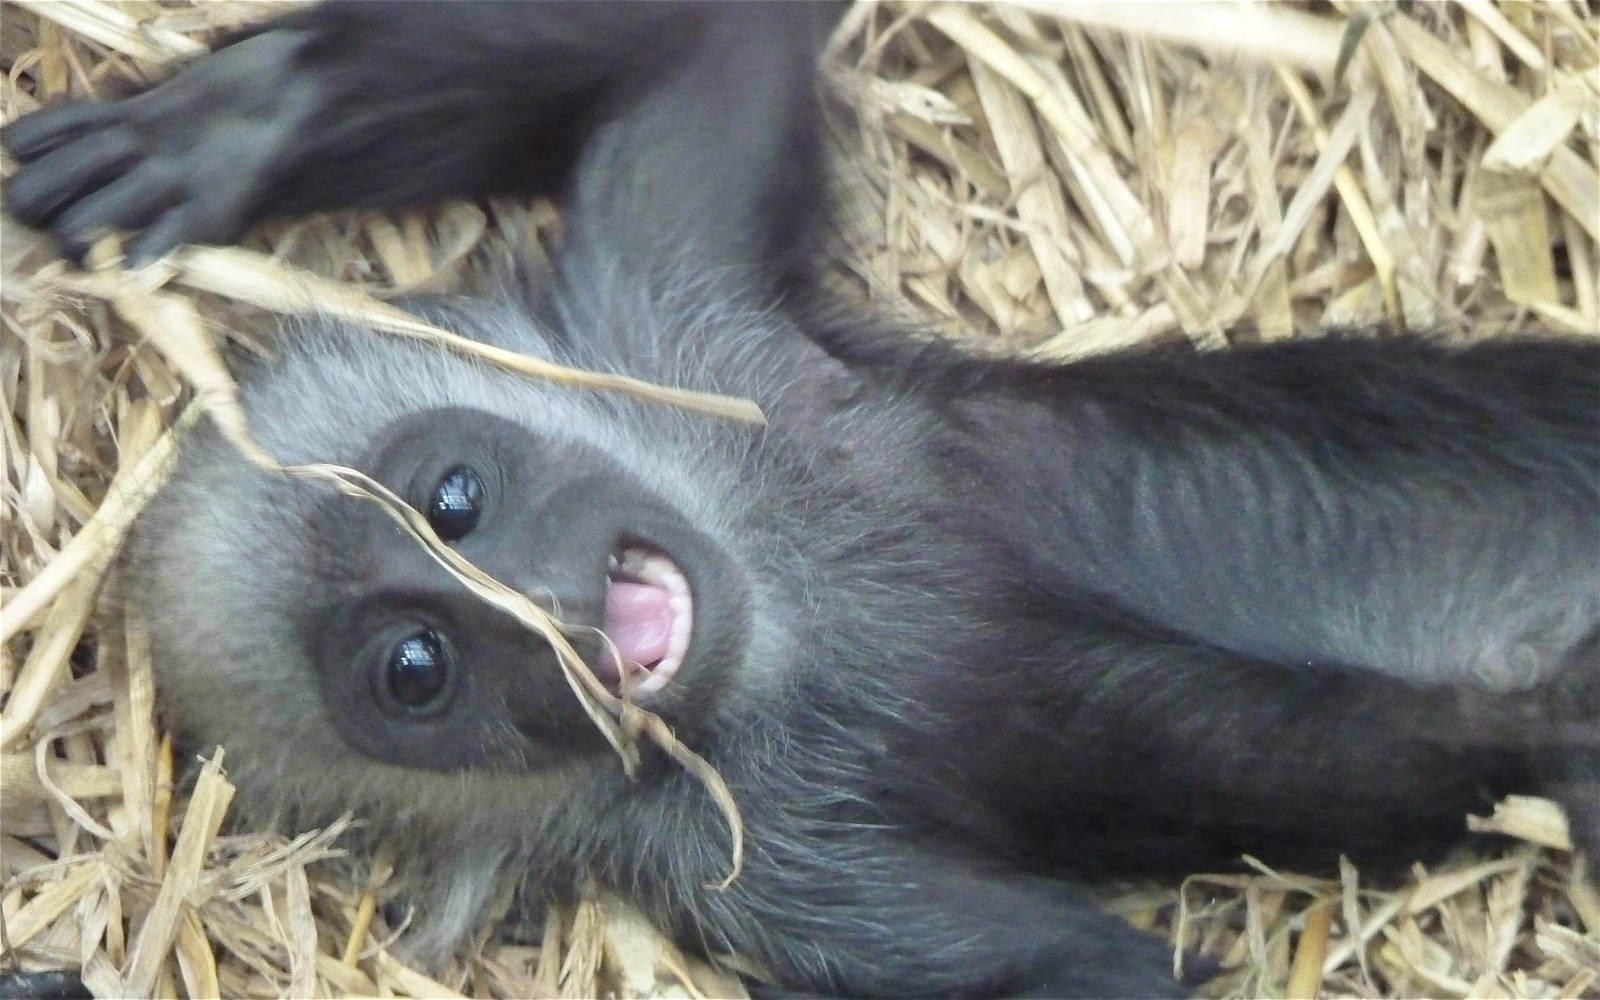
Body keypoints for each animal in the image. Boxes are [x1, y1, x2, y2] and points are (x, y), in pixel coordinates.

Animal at [4, 3, 1598, 997]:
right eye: (417, 667)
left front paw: (238, 126)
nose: (557, 615)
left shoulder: (673, 276)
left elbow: (708, 35)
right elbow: (1099, 977)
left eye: (453, 500)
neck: (788, 612)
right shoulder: (773, 882)